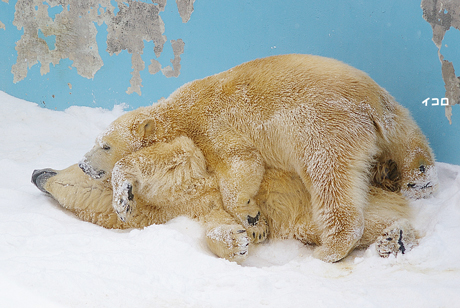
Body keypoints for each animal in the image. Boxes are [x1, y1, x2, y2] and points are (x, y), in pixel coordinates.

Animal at [34, 137, 418, 262]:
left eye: (58, 174)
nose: (36, 172)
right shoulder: (189, 207)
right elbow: (218, 221)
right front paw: (238, 242)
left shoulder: (189, 168)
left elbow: (178, 154)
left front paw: (122, 192)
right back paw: (392, 240)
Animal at [77, 54, 434, 262]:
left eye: (104, 145)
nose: (83, 164)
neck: (177, 112)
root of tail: (369, 100)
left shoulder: (211, 123)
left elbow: (241, 162)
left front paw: (253, 220)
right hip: (394, 115)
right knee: (411, 143)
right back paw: (418, 184)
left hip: (323, 128)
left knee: (328, 178)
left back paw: (329, 249)